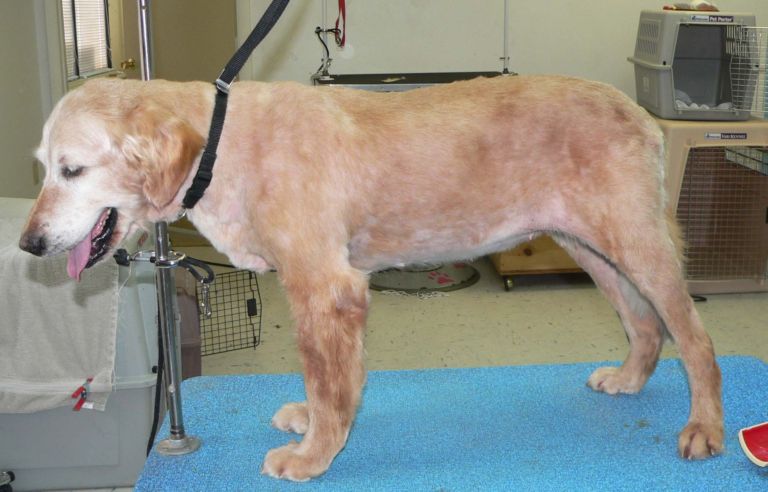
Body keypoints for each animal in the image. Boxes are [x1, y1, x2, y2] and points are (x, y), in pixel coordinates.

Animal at [19, 75, 723, 481]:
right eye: (44, 166)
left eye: (73, 169)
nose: (29, 244)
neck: (224, 143)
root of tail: (640, 111)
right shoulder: (329, 292)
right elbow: (334, 379)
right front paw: (317, 427)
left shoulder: (325, 286)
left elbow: (328, 383)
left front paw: (313, 457)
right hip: (592, 246)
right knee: (646, 327)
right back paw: (629, 380)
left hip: (636, 243)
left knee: (694, 336)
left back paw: (706, 428)